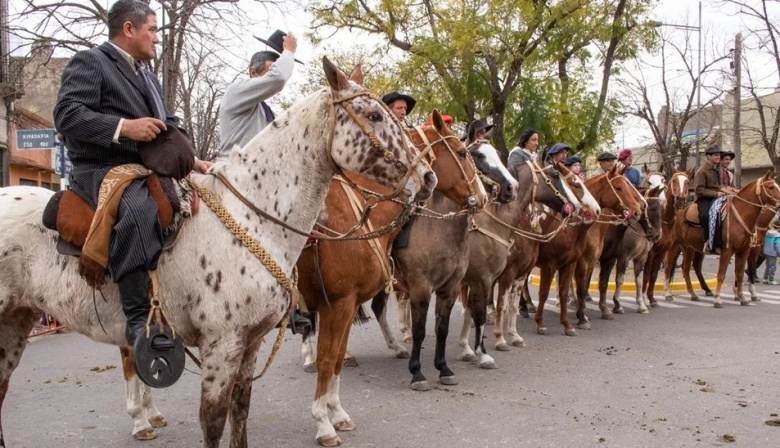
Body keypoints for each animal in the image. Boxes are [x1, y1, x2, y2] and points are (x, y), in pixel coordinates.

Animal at [0, 60, 436, 448]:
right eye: (373, 115)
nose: (426, 177)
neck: (255, 218)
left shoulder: (251, 341)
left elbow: (241, 412)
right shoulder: (223, 345)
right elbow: (215, 419)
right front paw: (326, 422)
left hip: (16, 324)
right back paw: (142, 419)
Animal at [664, 170, 780, 307]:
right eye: (771, 187)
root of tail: (679, 211)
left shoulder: (746, 251)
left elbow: (741, 273)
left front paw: (743, 297)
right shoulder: (727, 251)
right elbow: (721, 274)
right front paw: (718, 299)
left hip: (693, 248)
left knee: (689, 267)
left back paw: (697, 293)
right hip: (677, 246)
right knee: (671, 266)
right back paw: (669, 293)